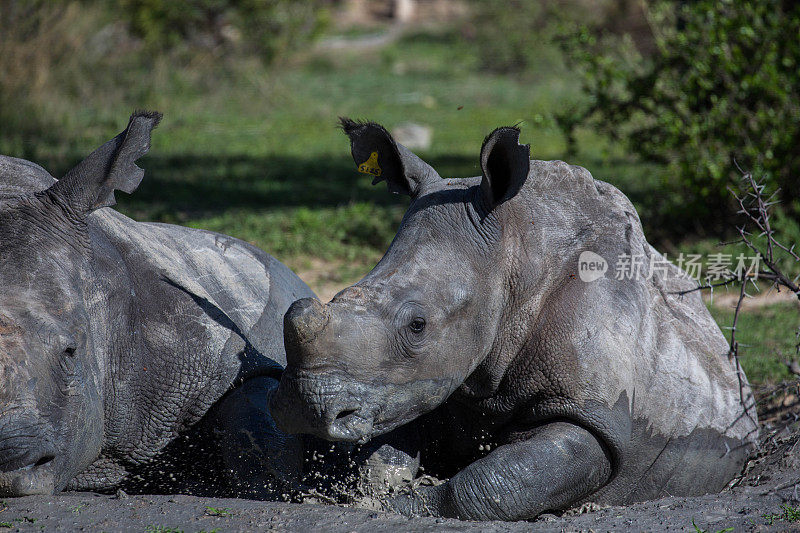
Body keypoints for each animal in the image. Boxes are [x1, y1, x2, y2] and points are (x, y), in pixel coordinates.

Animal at [270, 119, 764, 520]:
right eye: (338, 294)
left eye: (418, 325)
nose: (307, 407)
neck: (515, 253)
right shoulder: (414, 383)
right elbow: (384, 449)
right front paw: (373, 489)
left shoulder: (594, 412)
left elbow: (488, 484)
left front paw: (396, 506)